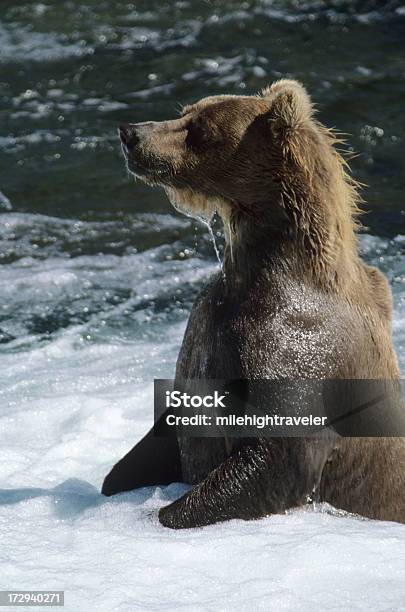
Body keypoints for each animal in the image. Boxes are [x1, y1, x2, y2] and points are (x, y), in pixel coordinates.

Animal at [102, 80, 404, 532]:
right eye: (186, 110)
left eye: (199, 128)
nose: (131, 133)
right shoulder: (209, 327)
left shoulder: (293, 343)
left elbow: (276, 457)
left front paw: (166, 512)